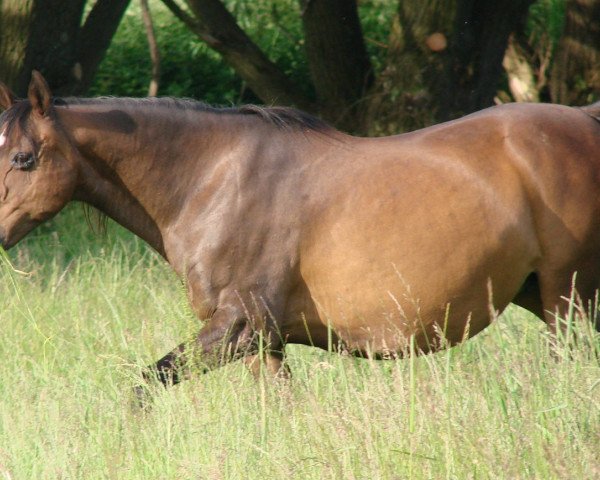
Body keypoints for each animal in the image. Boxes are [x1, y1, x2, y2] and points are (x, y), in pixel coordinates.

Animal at [1, 72, 600, 390]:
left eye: (24, 158)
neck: (210, 180)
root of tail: (584, 119)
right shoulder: (264, 341)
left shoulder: (237, 326)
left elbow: (147, 384)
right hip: (540, 294)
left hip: (566, 295)